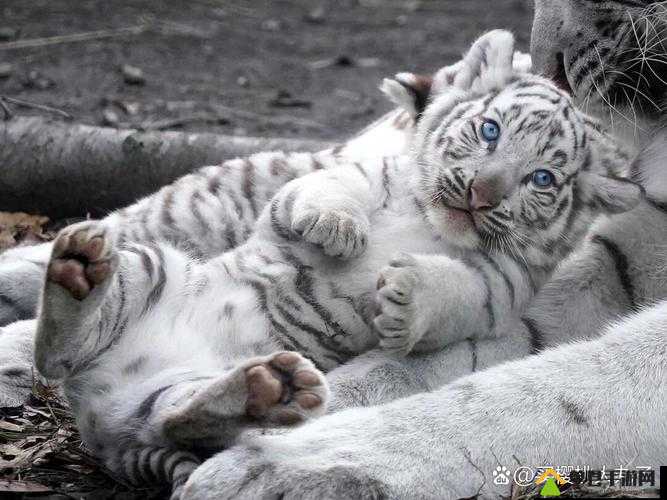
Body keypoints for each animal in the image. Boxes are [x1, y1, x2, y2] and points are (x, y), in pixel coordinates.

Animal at [23, 30, 643, 499]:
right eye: (490, 130)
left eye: (542, 178)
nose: (481, 194)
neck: (433, 222)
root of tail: (103, 429)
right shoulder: (350, 179)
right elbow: (328, 191)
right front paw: (335, 230)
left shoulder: (499, 286)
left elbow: (456, 292)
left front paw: (405, 301)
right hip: (156, 267)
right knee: (59, 353)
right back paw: (79, 269)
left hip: (170, 390)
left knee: (176, 418)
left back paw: (264, 389)